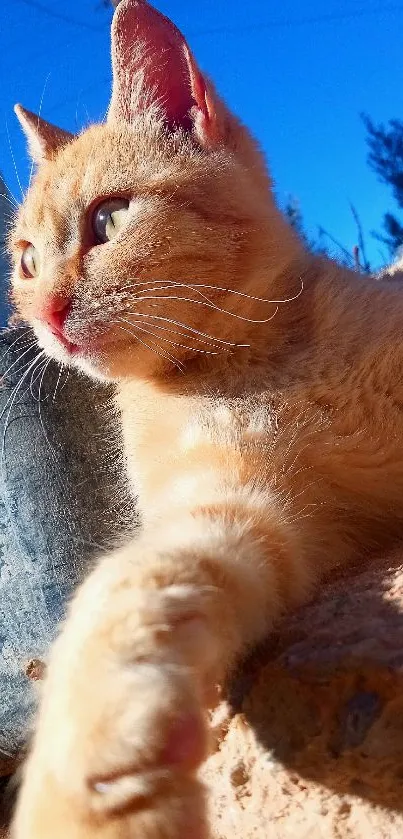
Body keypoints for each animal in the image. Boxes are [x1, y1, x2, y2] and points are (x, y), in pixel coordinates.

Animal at [7, 0, 403, 836]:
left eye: (109, 219)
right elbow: (131, 583)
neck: (256, 360)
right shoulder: (240, 506)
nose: (46, 313)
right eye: (24, 260)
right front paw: (91, 781)